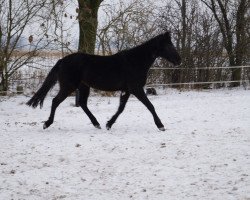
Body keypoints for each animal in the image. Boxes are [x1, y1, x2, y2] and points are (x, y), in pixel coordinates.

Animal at [26, 31, 180, 130]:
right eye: (169, 45)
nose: (179, 60)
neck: (135, 61)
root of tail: (62, 61)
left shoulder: (127, 90)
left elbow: (121, 108)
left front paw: (109, 124)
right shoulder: (136, 89)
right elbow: (150, 106)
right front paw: (161, 125)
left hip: (83, 86)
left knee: (83, 104)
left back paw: (97, 124)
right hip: (69, 86)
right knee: (55, 101)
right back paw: (47, 123)